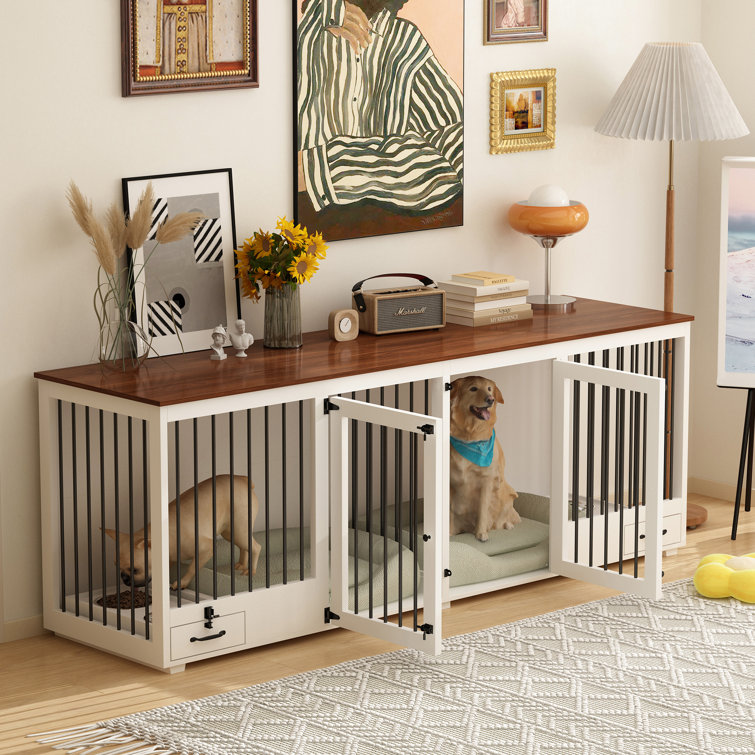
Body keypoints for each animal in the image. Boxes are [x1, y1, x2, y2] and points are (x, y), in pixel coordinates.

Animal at [105, 476, 262, 592]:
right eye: (116, 566)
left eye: (135, 570)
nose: (124, 578)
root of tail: (243, 479)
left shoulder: (205, 548)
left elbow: (192, 567)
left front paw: (182, 583)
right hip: (231, 532)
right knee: (244, 546)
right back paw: (241, 565)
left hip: (239, 529)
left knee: (255, 547)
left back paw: (251, 571)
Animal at [448, 376, 520, 540]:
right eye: (473, 388)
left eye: (489, 389)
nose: (491, 399)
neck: (470, 436)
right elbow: (448, 513)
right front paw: (447, 534)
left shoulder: (486, 480)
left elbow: (483, 510)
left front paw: (481, 533)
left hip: (508, 494)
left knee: (504, 519)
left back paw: (507, 525)